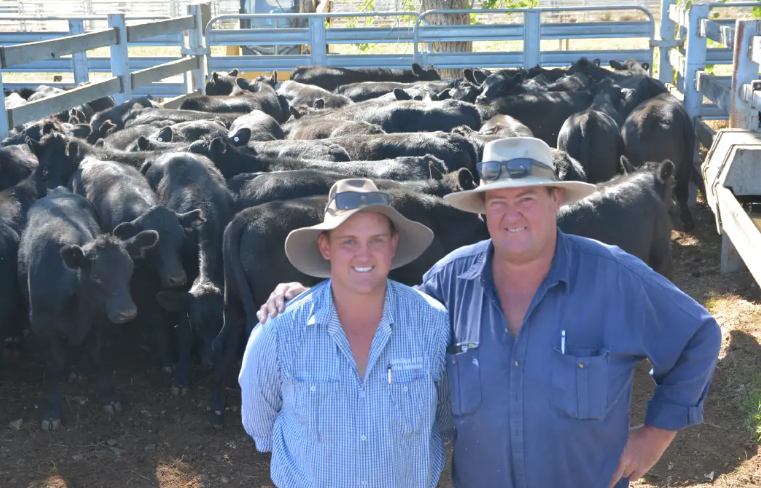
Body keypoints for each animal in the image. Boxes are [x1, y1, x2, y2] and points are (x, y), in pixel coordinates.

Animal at [18, 186, 158, 430]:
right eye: (95, 276)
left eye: (130, 269)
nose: (127, 312)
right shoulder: (41, 324)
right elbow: (54, 362)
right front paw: (51, 410)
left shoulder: (100, 318)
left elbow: (98, 352)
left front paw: (108, 396)